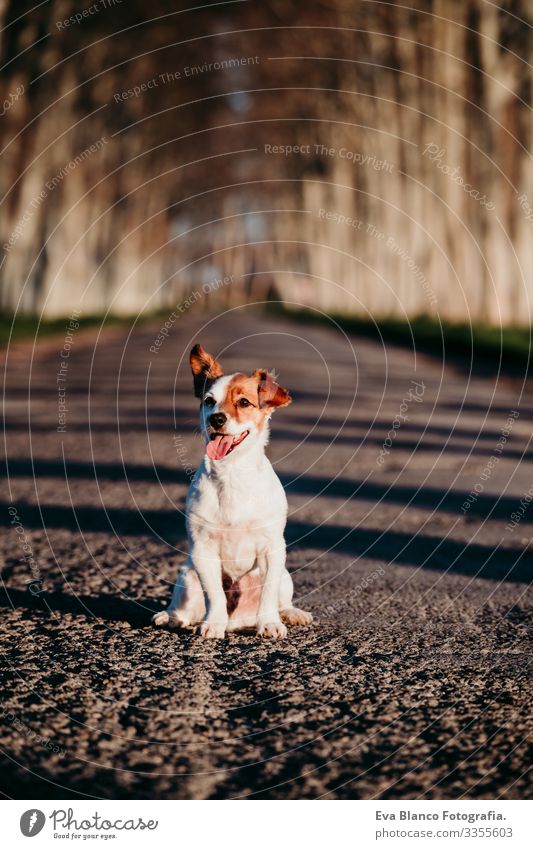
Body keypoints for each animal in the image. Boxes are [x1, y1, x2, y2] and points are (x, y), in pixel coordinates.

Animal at [152, 342, 314, 640]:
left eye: (244, 402)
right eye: (208, 401)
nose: (216, 418)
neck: (232, 474)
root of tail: (239, 621)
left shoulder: (273, 548)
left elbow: (268, 594)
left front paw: (269, 624)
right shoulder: (202, 549)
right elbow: (214, 595)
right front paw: (213, 624)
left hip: (284, 575)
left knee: (281, 599)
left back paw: (291, 614)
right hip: (187, 574)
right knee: (184, 607)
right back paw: (171, 616)